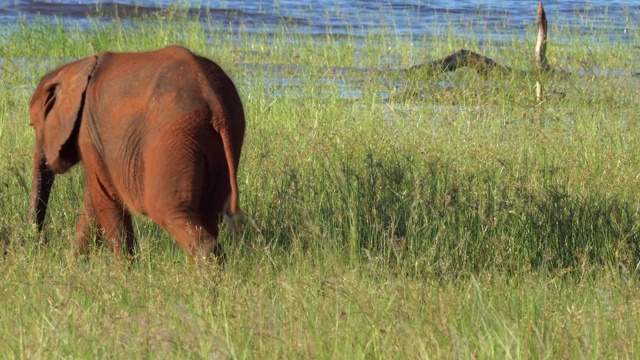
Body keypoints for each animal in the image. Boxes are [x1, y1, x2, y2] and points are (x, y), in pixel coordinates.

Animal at [26, 45, 245, 260]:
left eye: (33, 126)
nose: (38, 245)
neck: (77, 67)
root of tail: (212, 96)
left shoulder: (88, 132)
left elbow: (105, 196)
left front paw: (123, 267)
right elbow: (95, 198)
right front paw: (75, 262)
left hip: (175, 137)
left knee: (167, 210)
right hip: (226, 136)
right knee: (208, 212)